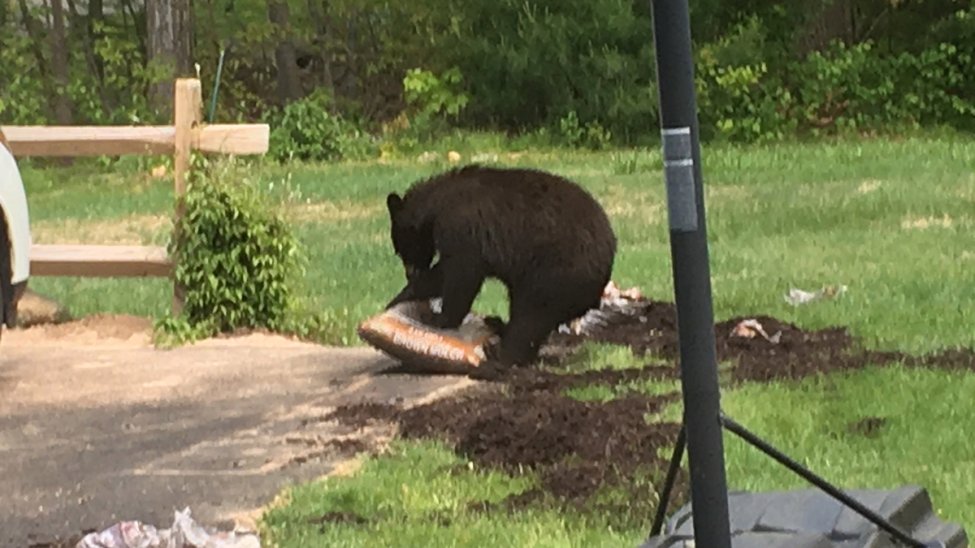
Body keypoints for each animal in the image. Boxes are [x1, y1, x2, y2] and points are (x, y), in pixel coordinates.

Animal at [386, 164, 612, 368]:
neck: (440, 202)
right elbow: (443, 274)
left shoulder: (461, 228)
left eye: (401, 248)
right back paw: (497, 325)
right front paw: (399, 300)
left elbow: (460, 274)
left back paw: (500, 354)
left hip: (555, 274)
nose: (410, 273)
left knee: (529, 317)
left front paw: (439, 318)